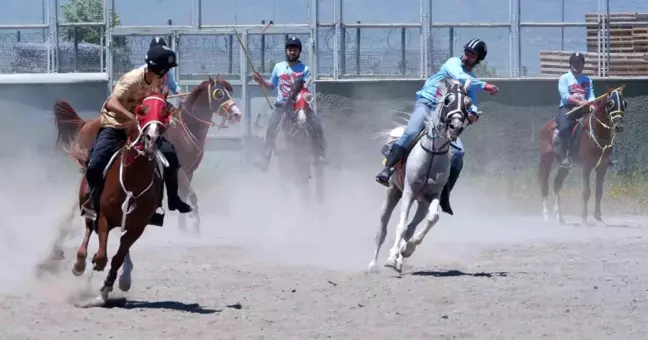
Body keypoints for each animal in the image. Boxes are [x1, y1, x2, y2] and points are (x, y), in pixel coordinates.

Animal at [52, 75, 240, 234]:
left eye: (230, 91)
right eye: (219, 93)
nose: (237, 114)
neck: (185, 130)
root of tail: (84, 123)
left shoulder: (189, 171)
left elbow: (184, 195)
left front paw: (183, 228)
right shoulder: (180, 170)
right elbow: (192, 196)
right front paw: (195, 226)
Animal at [65, 91, 173, 302]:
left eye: (165, 111)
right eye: (142, 110)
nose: (152, 139)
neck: (132, 181)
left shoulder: (138, 227)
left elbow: (117, 257)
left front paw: (107, 286)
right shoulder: (104, 218)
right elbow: (101, 256)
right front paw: (93, 268)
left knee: (122, 248)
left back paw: (124, 278)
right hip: (88, 205)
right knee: (88, 229)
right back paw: (79, 264)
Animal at [368, 77, 474, 274]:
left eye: (467, 103)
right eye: (447, 100)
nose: (455, 127)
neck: (432, 154)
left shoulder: (434, 195)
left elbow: (431, 219)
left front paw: (405, 250)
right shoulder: (408, 192)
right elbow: (401, 225)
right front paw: (391, 258)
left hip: (422, 203)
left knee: (412, 227)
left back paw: (400, 257)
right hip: (393, 192)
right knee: (382, 229)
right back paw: (373, 265)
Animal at [536, 86, 628, 226]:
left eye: (624, 104)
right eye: (610, 103)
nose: (619, 126)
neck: (596, 133)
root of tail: (547, 126)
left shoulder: (602, 168)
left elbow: (599, 193)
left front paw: (598, 218)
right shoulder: (587, 167)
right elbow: (586, 192)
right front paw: (584, 218)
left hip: (564, 167)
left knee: (557, 185)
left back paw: (559, 216)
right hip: (547, 160)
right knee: (544, 185)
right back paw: (546, 215)